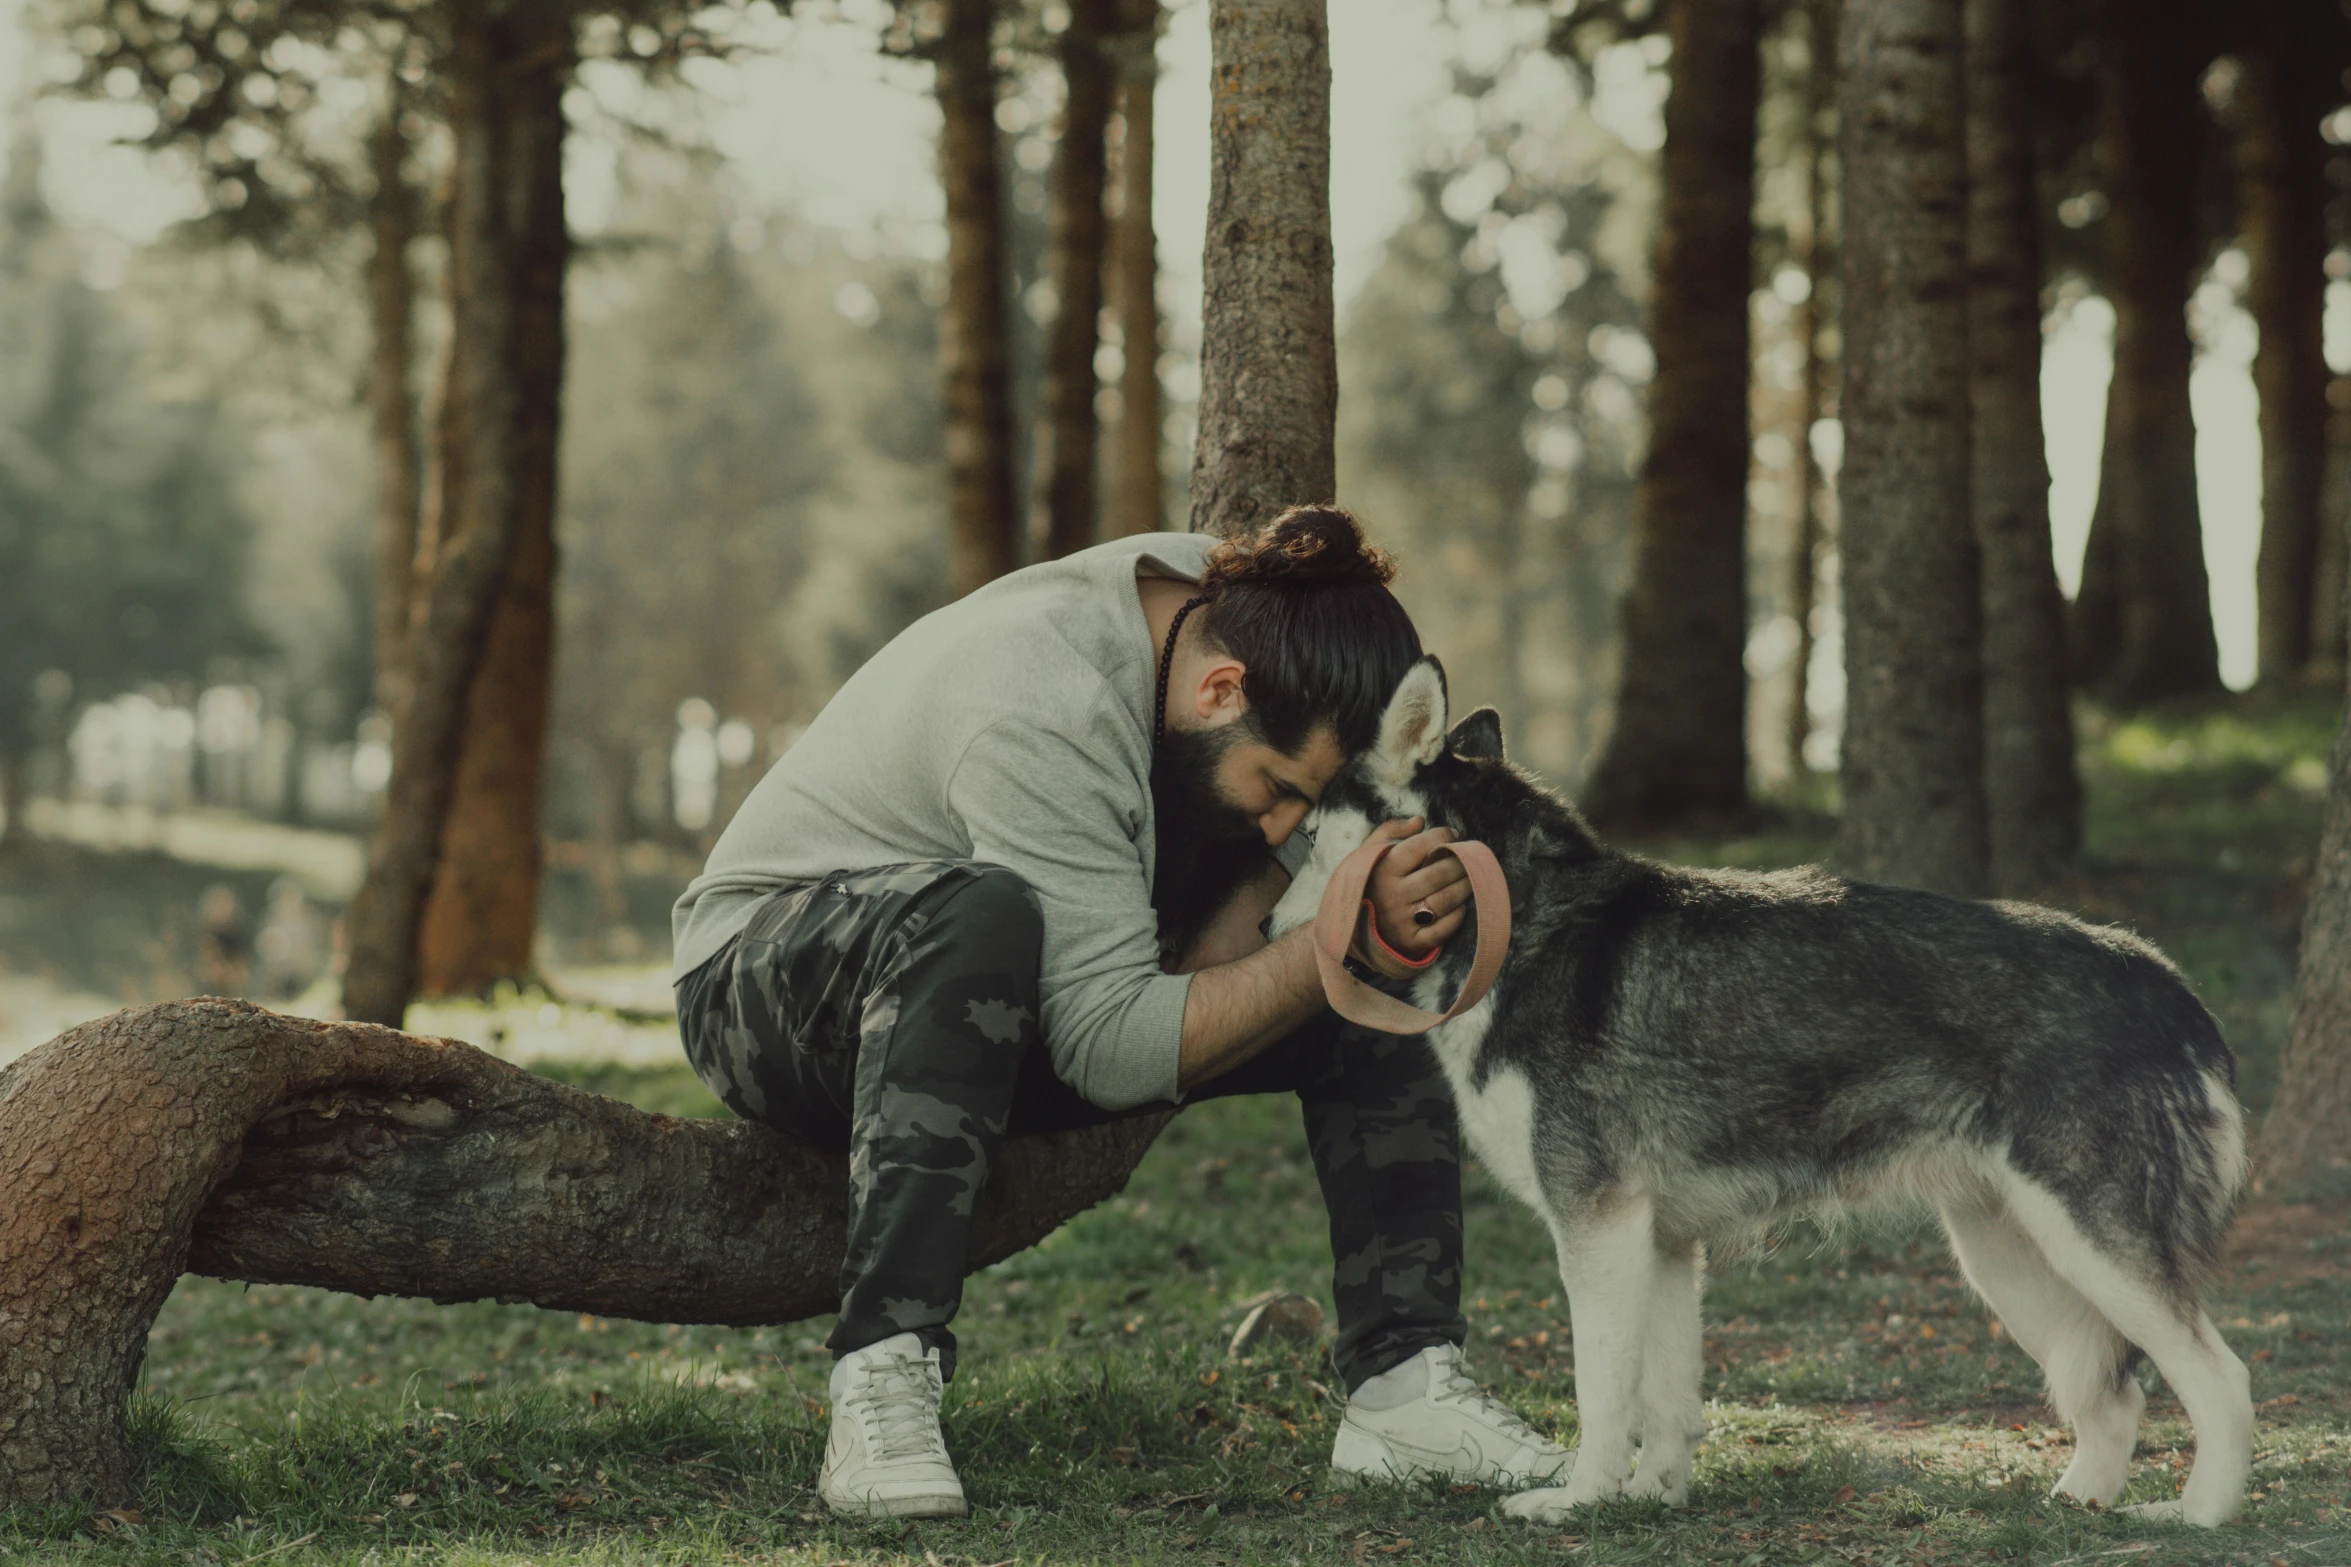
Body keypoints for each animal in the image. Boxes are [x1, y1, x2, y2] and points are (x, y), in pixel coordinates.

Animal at [1278, 667, 2247, 1531]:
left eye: (1310, 833)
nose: (1259, 927)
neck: (1518, 920)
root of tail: (2163, 980)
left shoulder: (1598, 1229)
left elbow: (1602, 1393)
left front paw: (1578, 1501)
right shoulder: (1660, 1245)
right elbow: (1665, 1400)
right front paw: (1651, 1497)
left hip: (2088, 1245)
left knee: (2220, 1379)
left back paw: (2197, 1515)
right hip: (2012, 1256)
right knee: (2112, 1395)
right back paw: (2080, 1503)